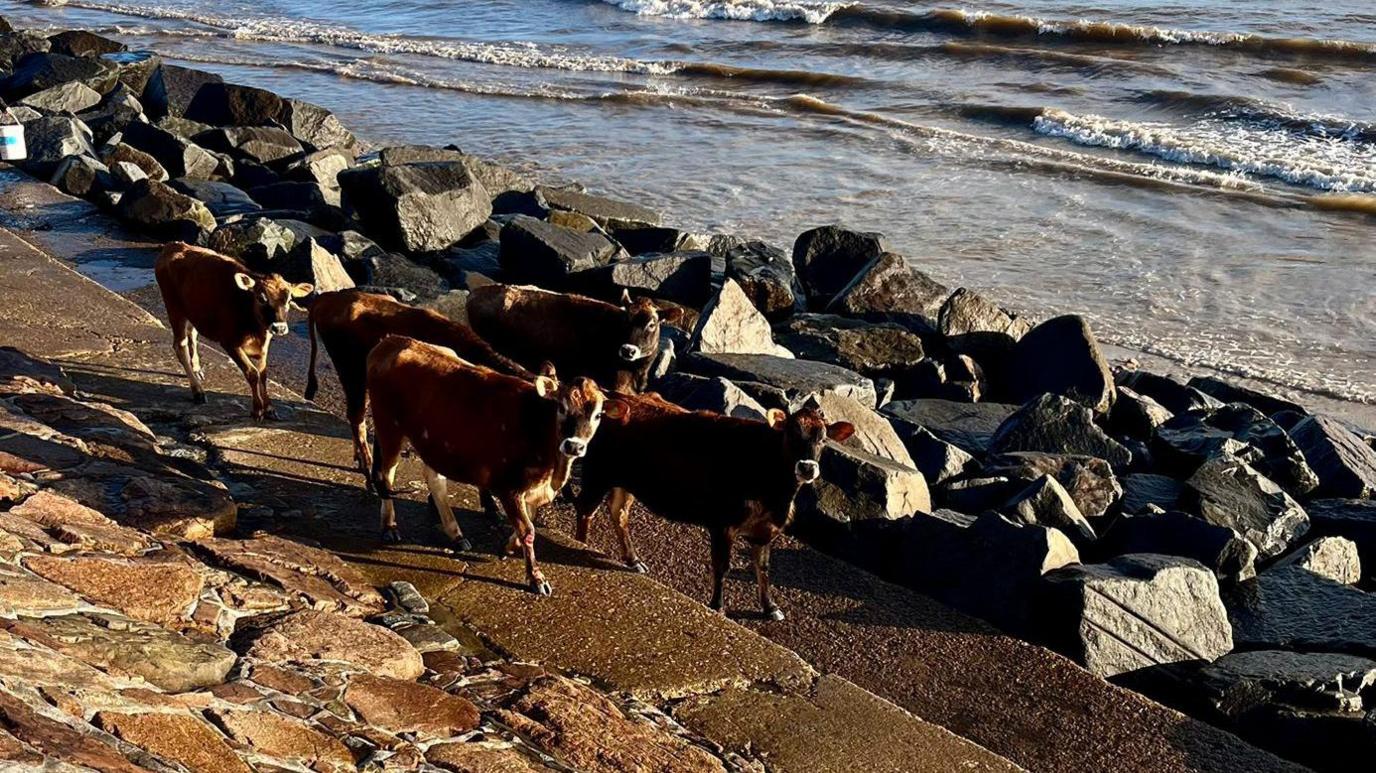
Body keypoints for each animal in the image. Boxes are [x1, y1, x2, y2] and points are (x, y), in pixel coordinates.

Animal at [154, 242, 313, 418]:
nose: (279, 328)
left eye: (289, 300)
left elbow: (263, 374)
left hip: (192, 311)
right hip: (175, 309)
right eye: (261, 298)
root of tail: (174, 245)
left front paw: (269, 408)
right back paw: (197, 391)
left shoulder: (264, 346)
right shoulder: (229, 342)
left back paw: (196, 369)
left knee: (192, 334)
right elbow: (252, 373)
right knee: (179, 345)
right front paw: (257, 409)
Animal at [366, 334, 613, 591]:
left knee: (435, 480)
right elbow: (528, 530)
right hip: (389, 428)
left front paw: (509, 547)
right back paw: (389, 526)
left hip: (431, 441)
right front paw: (535, 577)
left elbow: (527, 524)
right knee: (386, 476)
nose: (574, 446)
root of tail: (393, 340)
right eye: (562, 408)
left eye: (598, 415)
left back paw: (456, 534)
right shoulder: (509, 487)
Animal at [569, 390, 847, 618]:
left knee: (619, 512)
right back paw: (581, 543)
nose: (807, 467)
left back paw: (632, 559)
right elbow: (722, 566)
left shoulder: (766, 530)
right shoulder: (723, 523)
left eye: (823, 440)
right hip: (598, 473)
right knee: (585, 509)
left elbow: (764, 567)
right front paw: (718, 606)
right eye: (791, 434)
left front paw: (770, 607)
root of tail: (613, 397)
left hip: (626, 480)